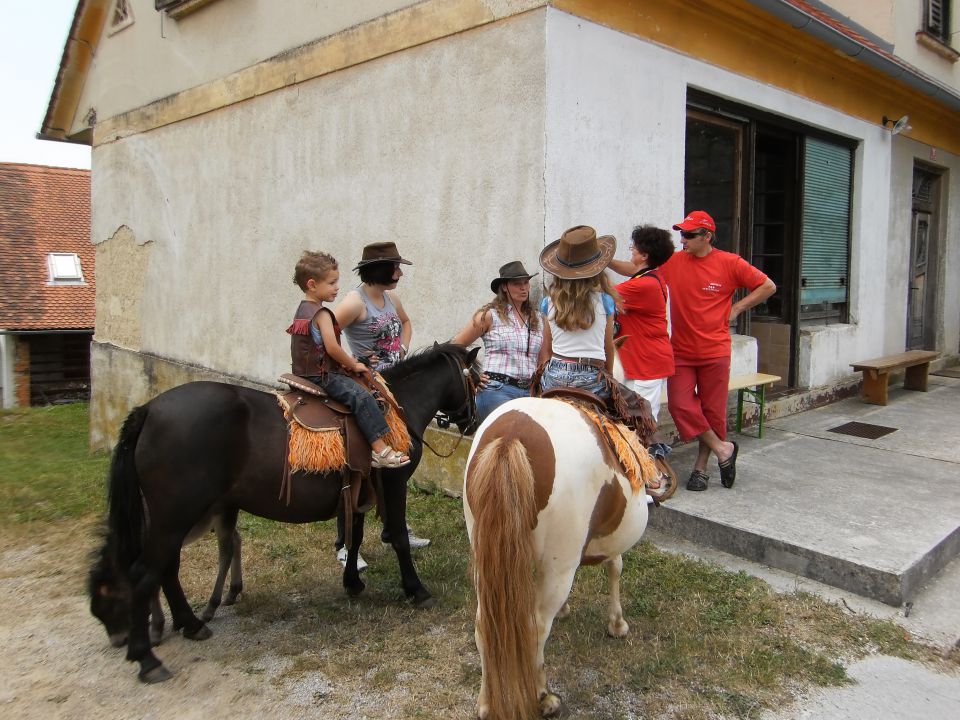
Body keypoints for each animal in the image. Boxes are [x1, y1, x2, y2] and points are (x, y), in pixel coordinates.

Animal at [90, 344, 480, 680]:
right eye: (476, 378)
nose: (473, 421)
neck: (397, 407)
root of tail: (149, 410)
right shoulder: (394, 484)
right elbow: (397, 537)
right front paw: (416, 590)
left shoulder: (358, 491)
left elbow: (354, 537)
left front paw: (352, 582)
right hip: (175, 516)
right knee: (145, 574)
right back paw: (147, 657)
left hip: (175, 518)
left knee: (166, 569)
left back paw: (190, 625)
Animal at [462, 396, 648, 716]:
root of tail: (512, 435)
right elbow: (615, 567)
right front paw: (617, 624)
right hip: (557, 568)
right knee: (536, 626)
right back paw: (543, 697)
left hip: (484, 559)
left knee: (484, 624)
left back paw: (486, 704)